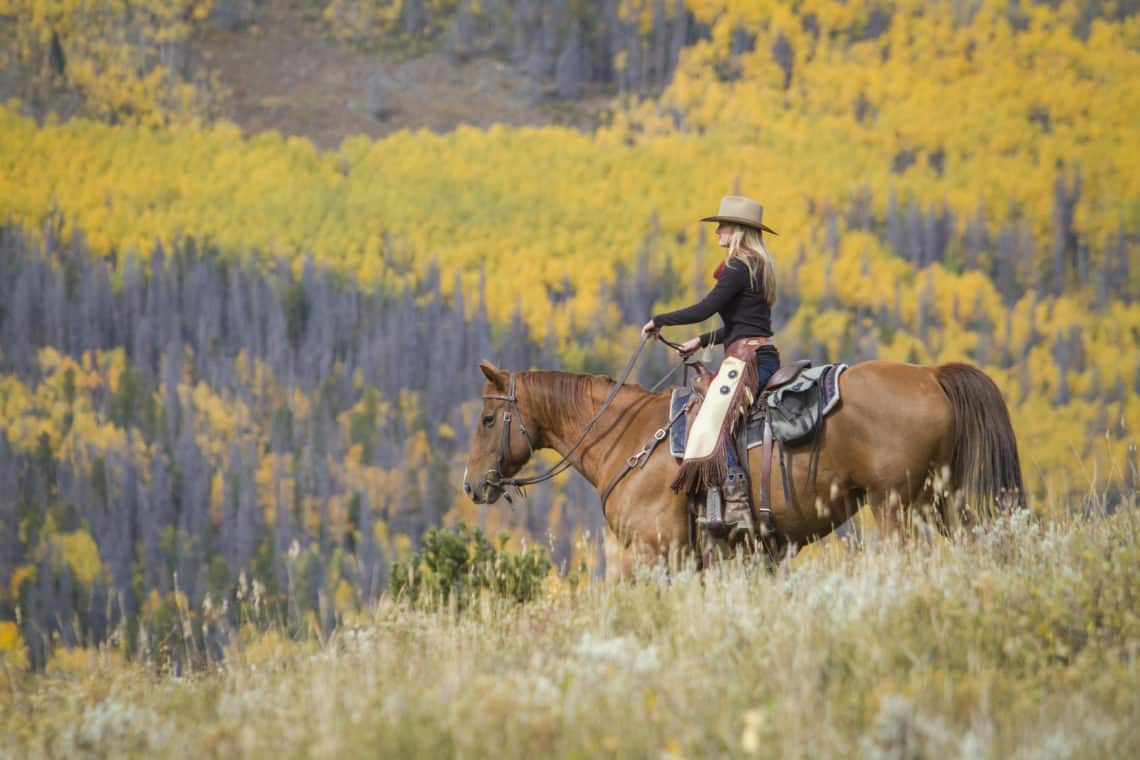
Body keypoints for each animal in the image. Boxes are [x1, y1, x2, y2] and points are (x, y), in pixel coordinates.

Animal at [460, 357, 1026, 576]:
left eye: (487, 418)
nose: (471, 486)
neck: (628, 437)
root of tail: (932, 375)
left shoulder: (650, 552)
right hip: (942, 504)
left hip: (899, 509)